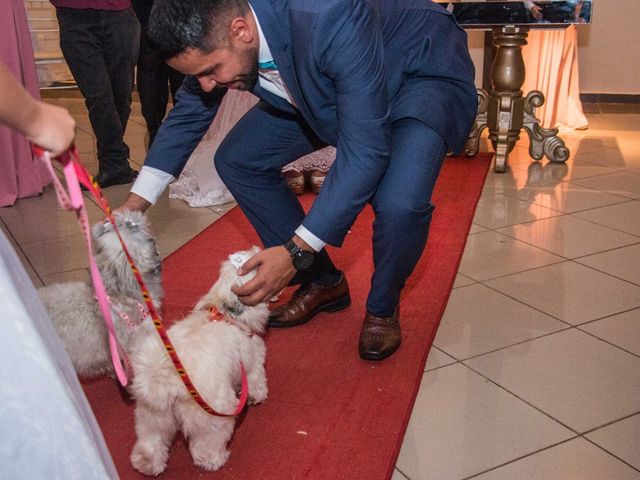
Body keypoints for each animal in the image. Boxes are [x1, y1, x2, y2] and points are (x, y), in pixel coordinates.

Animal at [129, 248, 268, 476]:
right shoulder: (252, 360)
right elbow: (257, 380)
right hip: (213, 418)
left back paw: (147, 465)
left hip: (152, 418)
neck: (224, 312)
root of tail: (167, 380)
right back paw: (215, 460)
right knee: (206, 446)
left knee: (150, 443)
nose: (261, 250)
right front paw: (258, 396)